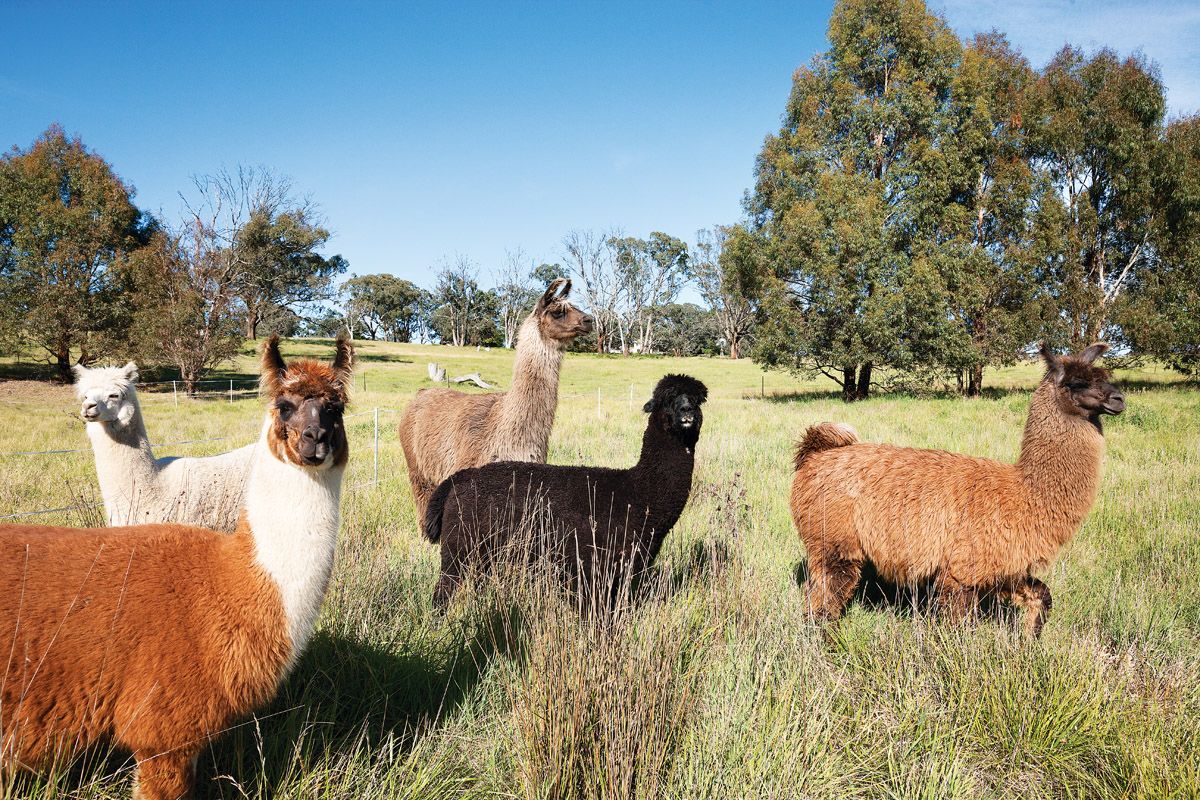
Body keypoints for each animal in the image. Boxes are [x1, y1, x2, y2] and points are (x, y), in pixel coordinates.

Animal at [423, 374, 707, 611]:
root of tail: (458, 479)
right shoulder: (592, 568)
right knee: (443, 591)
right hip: (460, 548)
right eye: (666, 399)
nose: (687, 411)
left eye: (698, 399)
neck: (637, 494)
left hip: (484, 553)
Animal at [790, 343, 1125, 638]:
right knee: (823, 602)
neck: (1024, 493)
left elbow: (1042, 595)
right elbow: (960, 628)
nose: (1119, 398)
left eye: (1104, 376)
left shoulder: (1002, 566)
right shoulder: (961, 569)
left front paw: (1030, 642)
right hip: (832, 539)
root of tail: (816, 455)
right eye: (1076, 383)